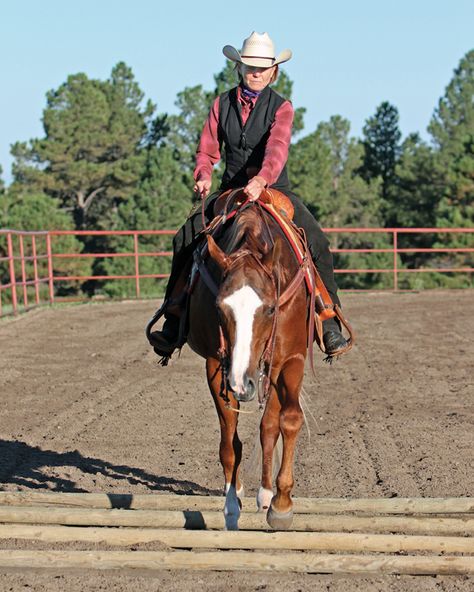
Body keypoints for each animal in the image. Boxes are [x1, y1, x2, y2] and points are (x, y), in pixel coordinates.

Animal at [185, 191, 312, 532]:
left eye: (269, 309)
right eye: (220, 308)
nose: (243, 382)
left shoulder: (291, 359)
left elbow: (287, 421)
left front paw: (282, 504)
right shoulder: (216, 366)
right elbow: (230, 441)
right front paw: (231, 506)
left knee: (270, 426)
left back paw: (268, 495)